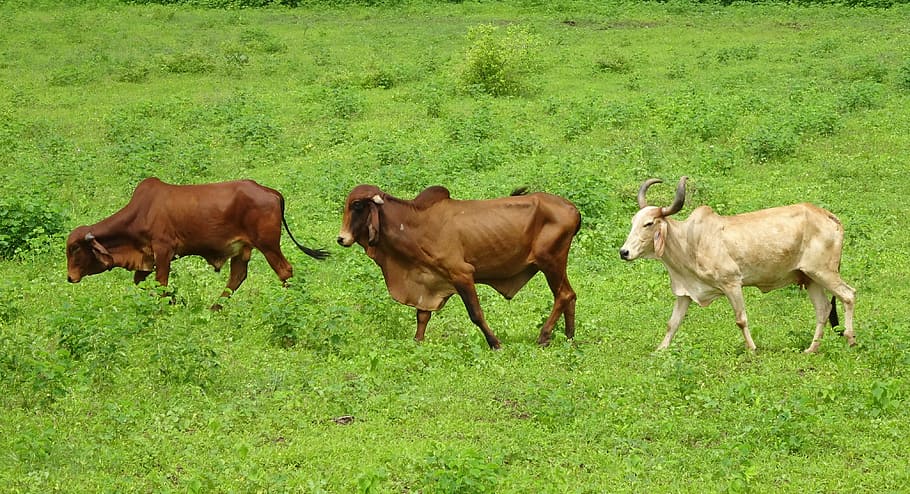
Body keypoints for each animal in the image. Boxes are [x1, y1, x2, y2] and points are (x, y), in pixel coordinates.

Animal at [66, 177, 328, 309]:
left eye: (75, 248)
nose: (70, 277)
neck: (141, 212)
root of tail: (270, 191)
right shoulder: (147, 259)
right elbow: (141, 283)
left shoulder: (163, 251)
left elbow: (161, 284)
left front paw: (169, 306)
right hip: (243, 249)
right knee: (237, 278)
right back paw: (214, 309)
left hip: (268, 245)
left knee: (285, 271)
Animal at [336, 184, 581, 349]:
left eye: (357, 205)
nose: (341, 238)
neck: (414, 225)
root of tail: (573, 209)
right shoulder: (428, 279)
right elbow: (422, 316)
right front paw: (417, 342)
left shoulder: (462, 274)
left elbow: (476, 314)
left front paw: (495, 343)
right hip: (555, 263)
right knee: (570, 295)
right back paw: (569, 338)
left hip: (551, 261)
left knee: (563, 295)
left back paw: (544, 337)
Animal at [619, 176, 856, 353]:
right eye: (633, 222)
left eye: (648, 223)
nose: (624, 252)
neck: (689, 241)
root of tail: (830, 217)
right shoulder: (685, 293)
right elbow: (673, 323)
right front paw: (660, 350)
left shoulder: (732, 283)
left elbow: (741, 319)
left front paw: (752, 349)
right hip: (809, 277)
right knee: (823, 309)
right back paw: (811, 349)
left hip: (824, 272)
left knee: (848, 295)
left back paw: (851, 339)